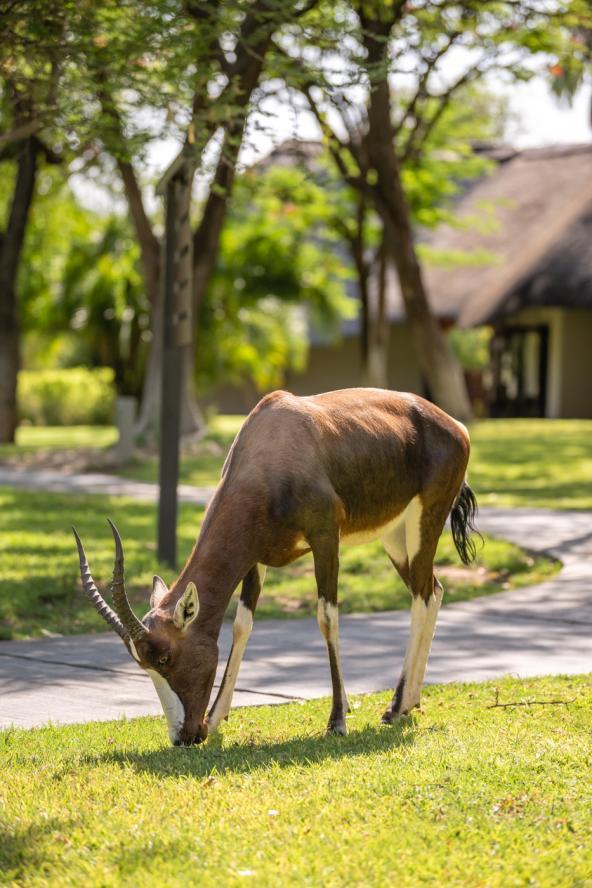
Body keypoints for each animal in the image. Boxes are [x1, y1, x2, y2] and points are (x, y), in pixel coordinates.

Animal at [73, 388, 476, 744]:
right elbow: (241, 625)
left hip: (424, 522)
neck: (272, 444)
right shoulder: (255, 556)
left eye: (164, 656)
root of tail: (455, 426)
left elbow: (327, 617)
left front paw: (337, 721)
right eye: (143, 663)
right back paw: (408, 703)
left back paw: (396, 707)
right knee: (434, 590)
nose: (183, 736)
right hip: (395, 538)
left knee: (422, 597)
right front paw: (216, 719)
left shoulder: (325, 539)